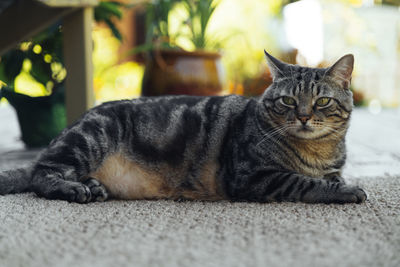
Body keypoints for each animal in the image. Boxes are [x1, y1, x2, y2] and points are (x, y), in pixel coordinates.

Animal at [0, 51, 366, 204]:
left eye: (322, 102)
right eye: (289, 101)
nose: (303, 116)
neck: (318, 152)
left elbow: (330, 177)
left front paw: (340, 182)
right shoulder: (253, 175)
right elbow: (304, 182)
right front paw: (347, 191)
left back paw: (93, 186)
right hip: (90, 137)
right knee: (42, 175)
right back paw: (74, 189)